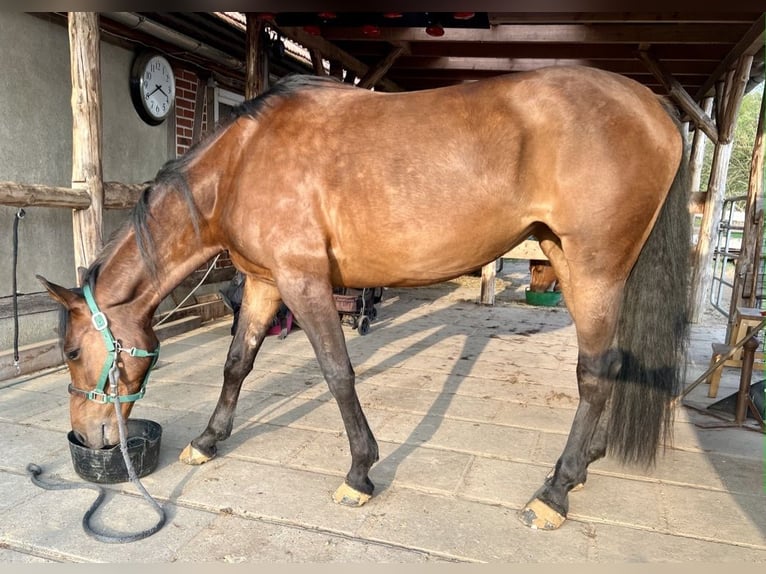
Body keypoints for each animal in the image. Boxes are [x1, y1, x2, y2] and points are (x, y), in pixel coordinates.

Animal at [38, 65, 690, 531]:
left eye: (70, 352)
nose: (89, 439)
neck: (240, 164)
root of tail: (655, 107)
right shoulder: (264, 283)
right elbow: (237, 363)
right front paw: (206, 441)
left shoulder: (303, 282)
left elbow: (337, 372)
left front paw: (358, 473)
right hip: (579, 264)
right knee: (611, 363)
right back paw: (586, 463)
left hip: (594, 267)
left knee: (595, 370)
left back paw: (555, 490)